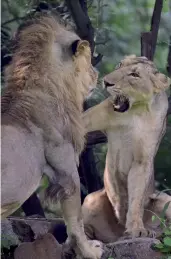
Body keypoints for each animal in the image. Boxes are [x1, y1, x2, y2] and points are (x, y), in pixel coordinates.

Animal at [82, 55, 170, 241]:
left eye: (134, 75)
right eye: (119, 65)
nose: (106, 82)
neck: (133, 113)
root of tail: (115, 236)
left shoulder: (142, 161)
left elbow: (135, 199)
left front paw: (137, 229)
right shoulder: (86, 120)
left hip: (166, 199)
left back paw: (153, 232)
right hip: (91, 198)